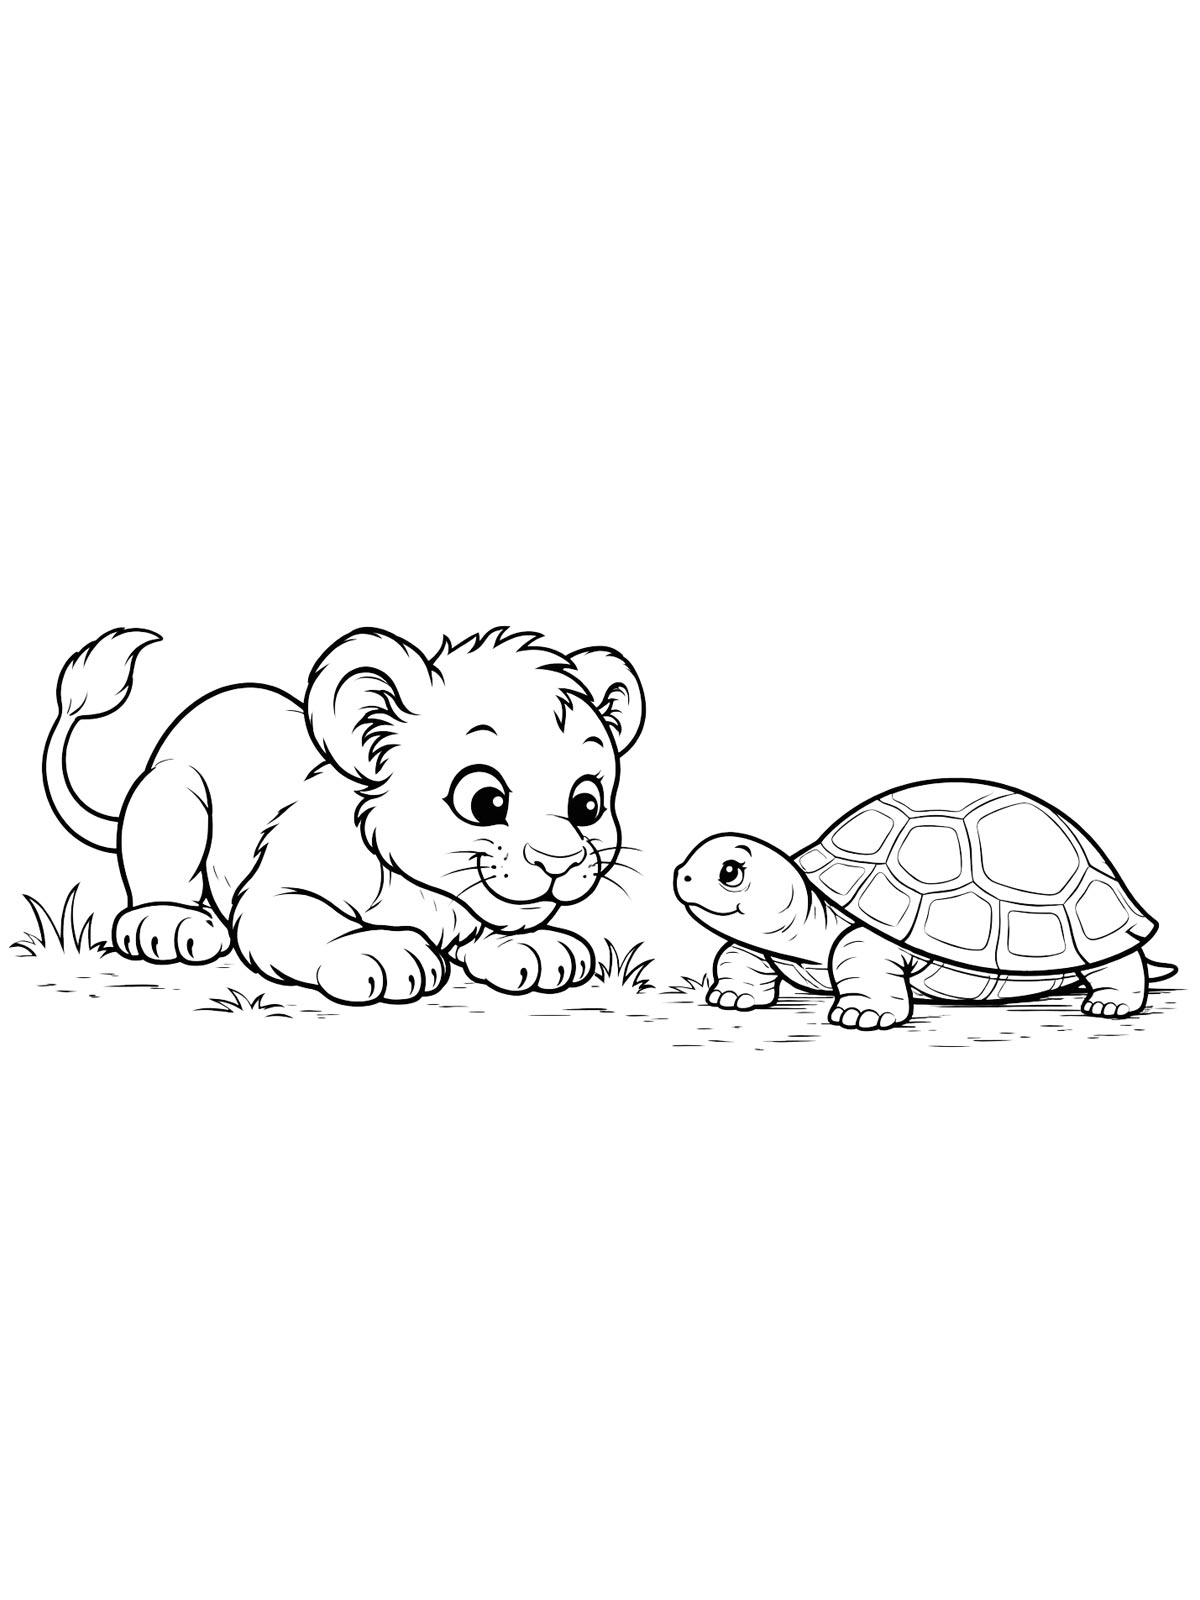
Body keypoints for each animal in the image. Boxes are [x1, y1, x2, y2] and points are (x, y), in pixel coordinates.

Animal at [43, 626, 645, 1004]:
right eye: (485, 801)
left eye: (587, 805)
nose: (559, 861)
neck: (427, 894)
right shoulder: (275, 890)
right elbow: (315, 922)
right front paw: (383, 953)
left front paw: (540, 951)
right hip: (172, 796)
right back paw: (168, 924)